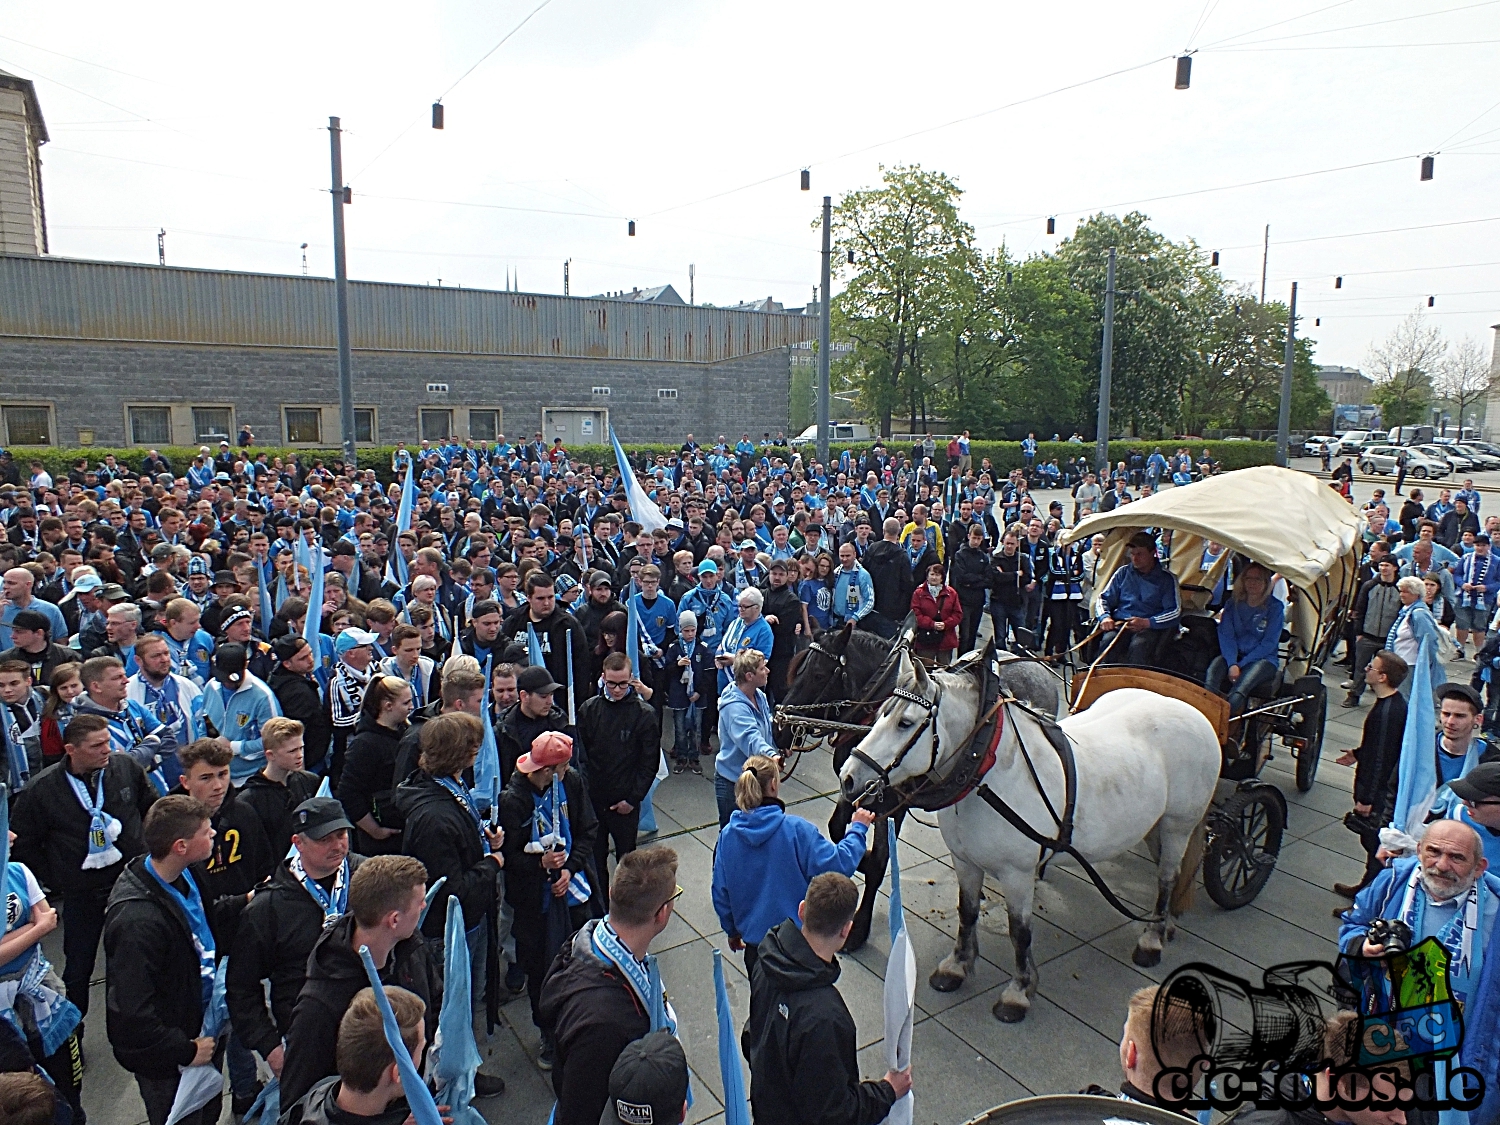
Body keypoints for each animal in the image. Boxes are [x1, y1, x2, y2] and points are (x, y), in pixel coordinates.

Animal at [840, 648, 1224, 1026]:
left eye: (904, 723)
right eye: (880, 712)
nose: (848, 777)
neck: (986, 770)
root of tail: (1193, 711)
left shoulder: (1018, 873)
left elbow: (1019, 932)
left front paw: (1019, 992)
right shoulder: (965, 861)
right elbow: (967, 911)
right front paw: (957, 966)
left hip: (1177, 823)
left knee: (1167, 876)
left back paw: (1152, 939)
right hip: (1154, 826)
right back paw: (1166, 924)